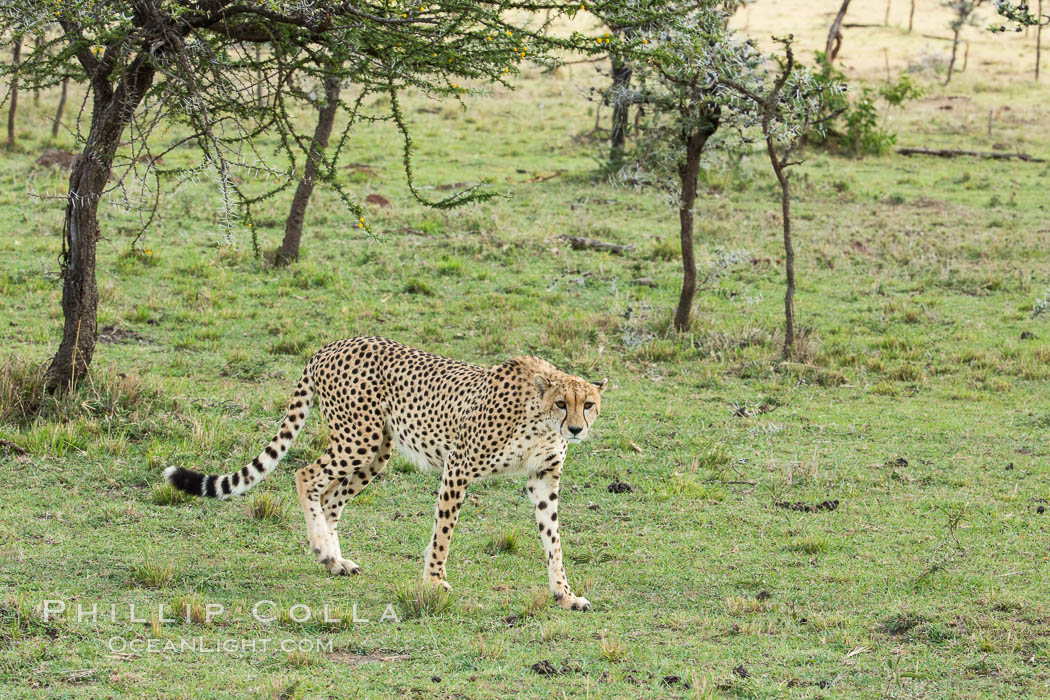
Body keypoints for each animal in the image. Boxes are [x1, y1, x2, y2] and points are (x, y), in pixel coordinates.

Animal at [163, 335, 609, 608]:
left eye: (587, 404)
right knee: (306, 476)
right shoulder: (458, 467)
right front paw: (434, 582)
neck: (539, 419)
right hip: (357, 439)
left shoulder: (543, 479)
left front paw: (565, 595)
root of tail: (331, 345)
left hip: (377, 452)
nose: (576, 429)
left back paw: (335, 560)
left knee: (330, 497)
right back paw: (322, 549)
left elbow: (553, 541)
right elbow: (443, 533)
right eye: (561, 403)